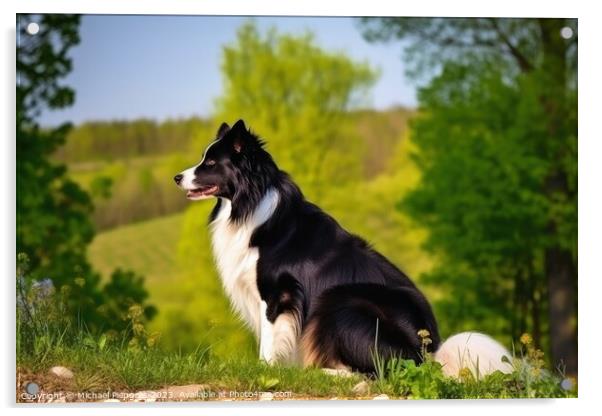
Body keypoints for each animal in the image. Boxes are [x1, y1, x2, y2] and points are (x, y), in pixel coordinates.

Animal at [173, 118, 510, 376]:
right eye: (203, 159)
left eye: (211, 163)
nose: (177, 177)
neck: (250, 203)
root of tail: (429, 354)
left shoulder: (278, 294)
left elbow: (269, 341)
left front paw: (265, 371)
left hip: (342, 302)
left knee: (377, 371)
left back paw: (324, 372)